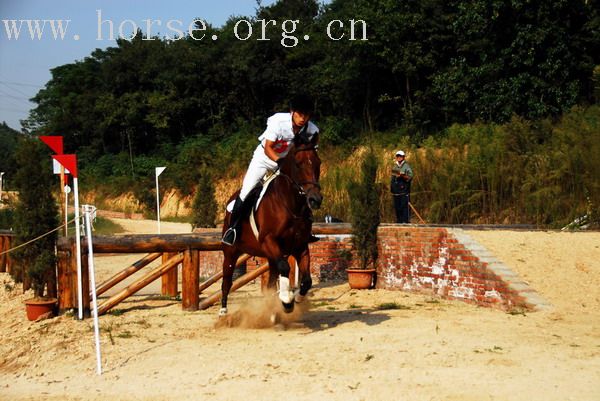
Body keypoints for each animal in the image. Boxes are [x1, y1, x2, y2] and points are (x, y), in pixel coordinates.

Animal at [220, 134, 324, 316]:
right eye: (298, 164)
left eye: (318, 163)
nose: (315, 200)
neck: (290, 204)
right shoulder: (269, 241)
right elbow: (285, 268)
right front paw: (287, 300)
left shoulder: (300, 246)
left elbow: (306, 280)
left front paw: (296, 298)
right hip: (231, 251)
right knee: (227, 280)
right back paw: (223, 311)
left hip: (269, 255)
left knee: (270, 281)